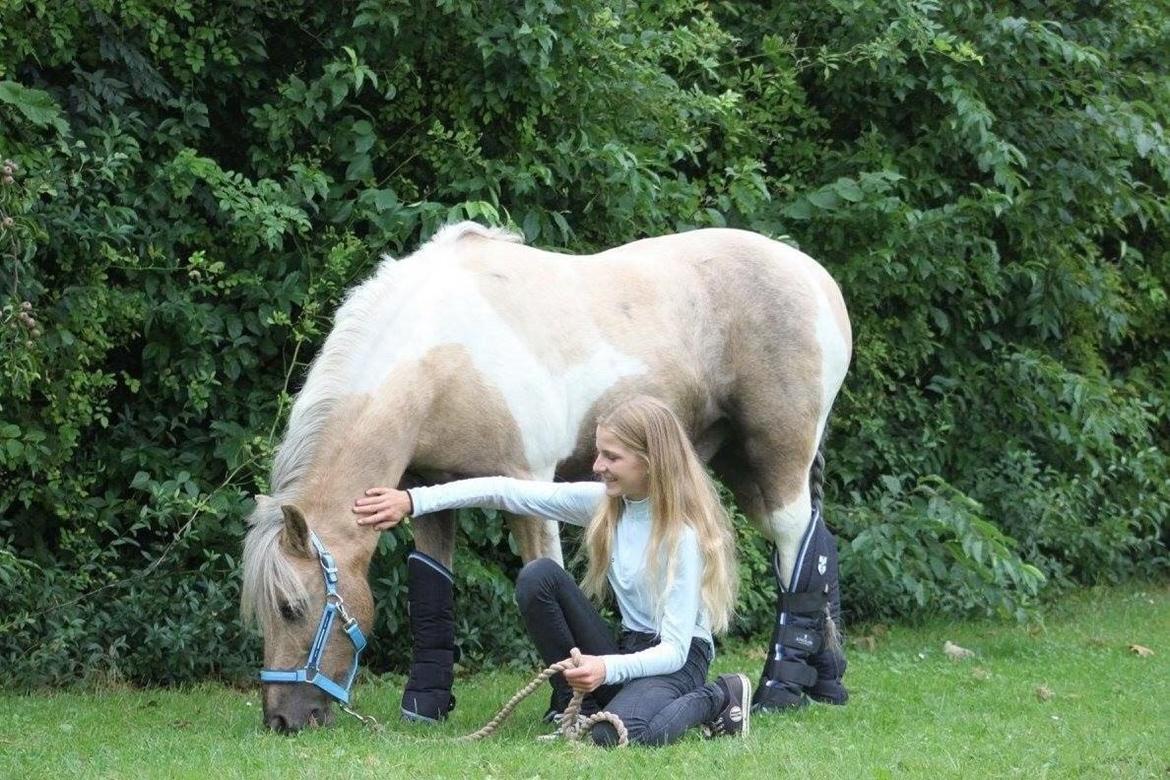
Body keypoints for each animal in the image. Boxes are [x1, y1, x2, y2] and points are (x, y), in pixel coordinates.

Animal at [242, 221, 856, 734]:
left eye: (292, 608)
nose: (282, 721)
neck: (447, 351)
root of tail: (816, 278)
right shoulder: (430, 490)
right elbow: (431, 590)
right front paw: (425, 706)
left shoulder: (529, 484)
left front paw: (563, 705)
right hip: (743, 467)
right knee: (818, 547)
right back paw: (826, 686)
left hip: (777, 459)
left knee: (796, 553)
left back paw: (778, 692)